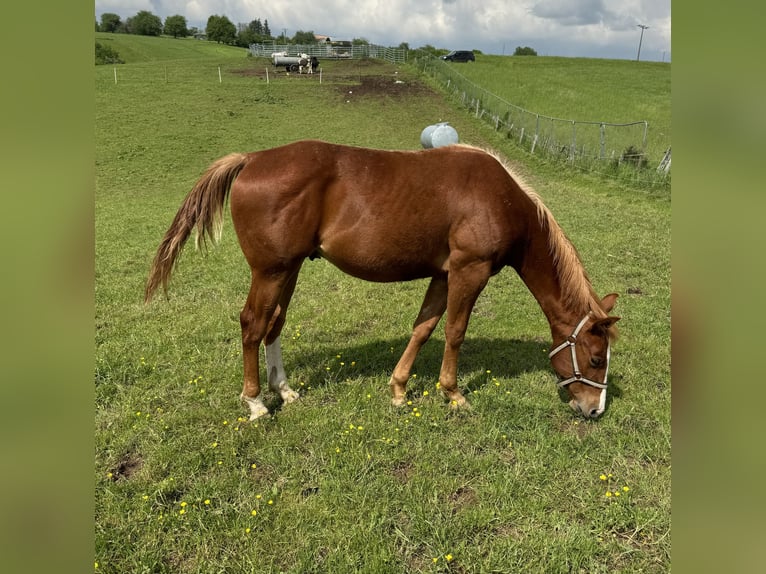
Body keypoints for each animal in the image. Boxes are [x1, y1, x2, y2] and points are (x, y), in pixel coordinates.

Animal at [147, 140, 620, 424]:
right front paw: (453, 393)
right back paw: (257, 403)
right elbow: (455, 331)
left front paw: (398, 388)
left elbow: (424, 327)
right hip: (271, 271)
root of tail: (253, 158)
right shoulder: (469, 270)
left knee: (273, 325)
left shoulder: (444, 273)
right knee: (252, 324)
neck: (501, 199)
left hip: (289, 270)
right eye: (596, 358)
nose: (595, 410)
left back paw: (285, 390)